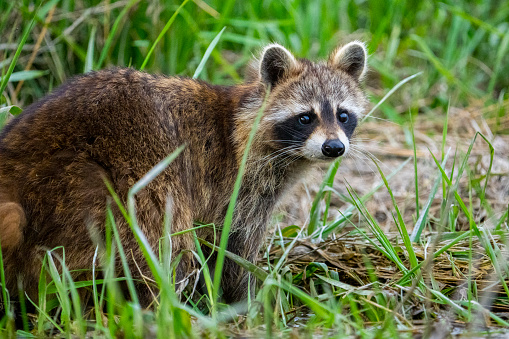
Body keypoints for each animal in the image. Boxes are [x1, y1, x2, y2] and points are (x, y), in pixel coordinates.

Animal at [0, 41, 368, 306]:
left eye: (342, 115)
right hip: (123, 181)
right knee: (166, 240)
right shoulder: (238, 184)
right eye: (305, 117)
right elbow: (232, 247)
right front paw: (248, 300)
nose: (334, 147)